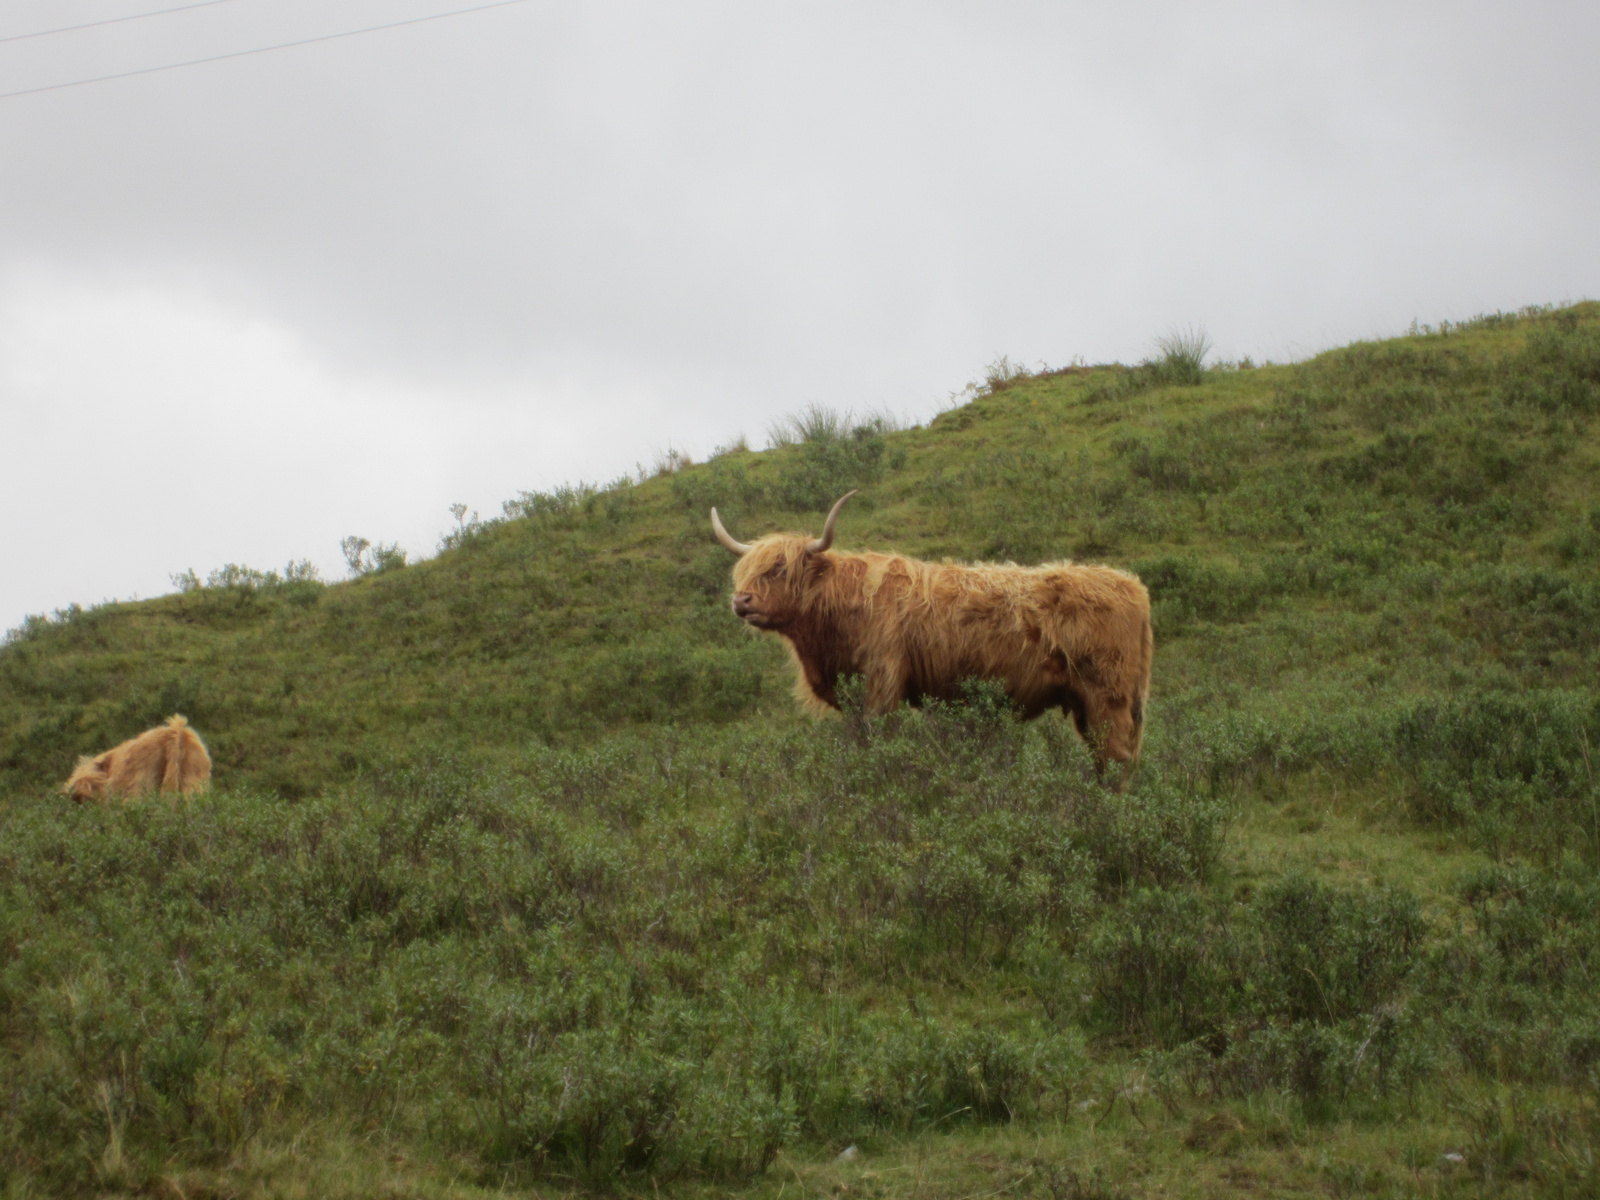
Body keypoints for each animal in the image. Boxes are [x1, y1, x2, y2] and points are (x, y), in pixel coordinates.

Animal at [713, 489, 1152, 784]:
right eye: (745, 572)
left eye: (779, 569)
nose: (741, 599)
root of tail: (1132, 586)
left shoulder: (882, 683)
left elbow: (878, 742)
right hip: (1088, 703)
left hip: (1108, 696)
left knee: (1117, 758)